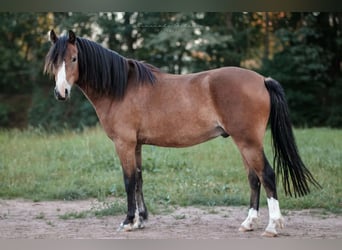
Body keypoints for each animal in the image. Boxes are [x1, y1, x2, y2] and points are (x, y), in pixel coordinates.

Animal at [43, 30, 320, 237]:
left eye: (74, 58)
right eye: (54, 61)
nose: (60, 93)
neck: (120, 87)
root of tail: (262, 79)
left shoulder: (124, 144)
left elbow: (129, 180)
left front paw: (128, 221)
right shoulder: (137, 144)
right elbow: (140, 179)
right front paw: (141, 220)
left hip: (248, 142)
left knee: (267, 175)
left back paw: (273, 227)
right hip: (245, 143)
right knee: (254, 178)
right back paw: (248, 223)